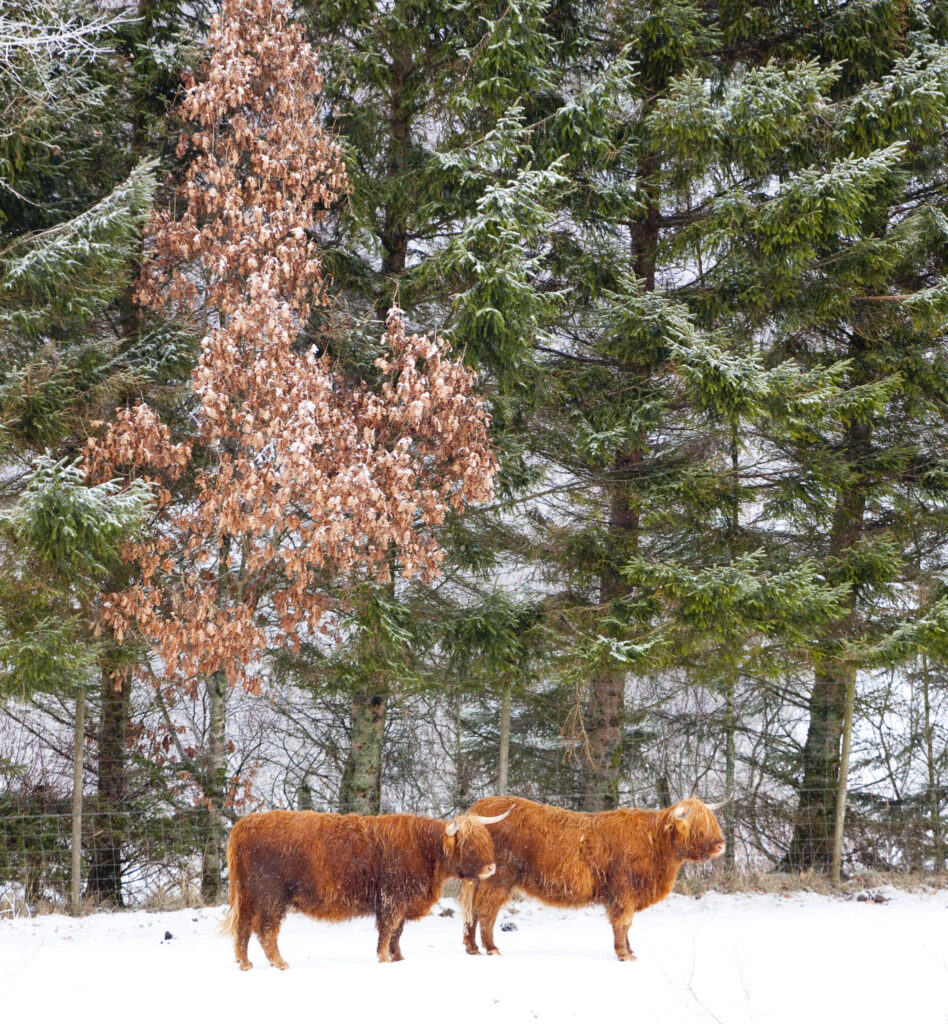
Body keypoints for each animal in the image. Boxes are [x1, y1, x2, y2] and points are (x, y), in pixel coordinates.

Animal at [224, 807, 510, 969]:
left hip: (248, 897)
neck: (425, 850)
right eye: (468, 844)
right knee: (266, 930)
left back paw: (245, 963)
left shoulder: (401, 902)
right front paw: (383, 959)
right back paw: (280, 963)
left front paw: (398, 959)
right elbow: (388, 931)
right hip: (271, 896)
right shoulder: (392, 899)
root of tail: (246, 824)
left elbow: (397, 933)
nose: (491, 868)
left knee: (243, 929)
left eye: (486, 840)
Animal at [460, 795, 726, 961]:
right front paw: (624, 954)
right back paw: (492, 949)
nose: (721, 846)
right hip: (498, 879)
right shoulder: (624, 891)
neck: (655, 843)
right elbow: (623, 923)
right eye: (698, 826)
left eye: (712, 822)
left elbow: (626, 925)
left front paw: (630, 950)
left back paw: (472, 948)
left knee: (472, 911)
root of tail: (479, 810)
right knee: (486, 911)